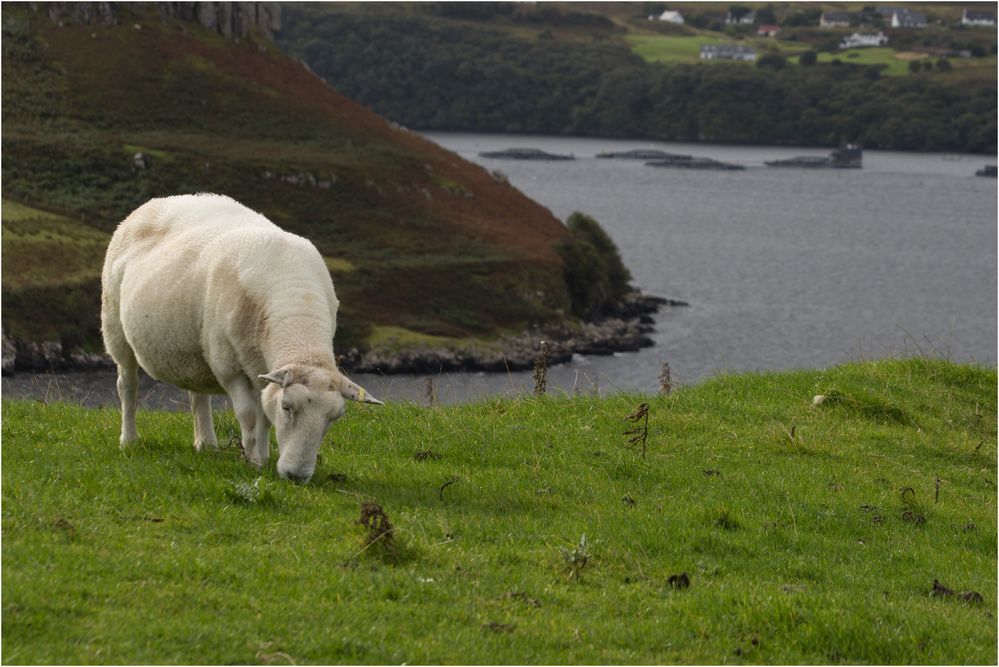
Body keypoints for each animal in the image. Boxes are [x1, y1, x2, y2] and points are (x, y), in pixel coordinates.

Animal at [101, 194, 382, 486]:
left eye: (334, 418)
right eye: (287, 407)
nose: (296, 476)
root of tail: (159, 201)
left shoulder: (263, 369)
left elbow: (265, 415)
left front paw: (264, 456)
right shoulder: (229, 367)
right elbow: (248, 415)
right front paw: (253, 461)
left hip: (194, 349)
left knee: (196, 394)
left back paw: (206, 444)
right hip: (115, 328)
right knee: (127, 385)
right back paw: (129, 440)